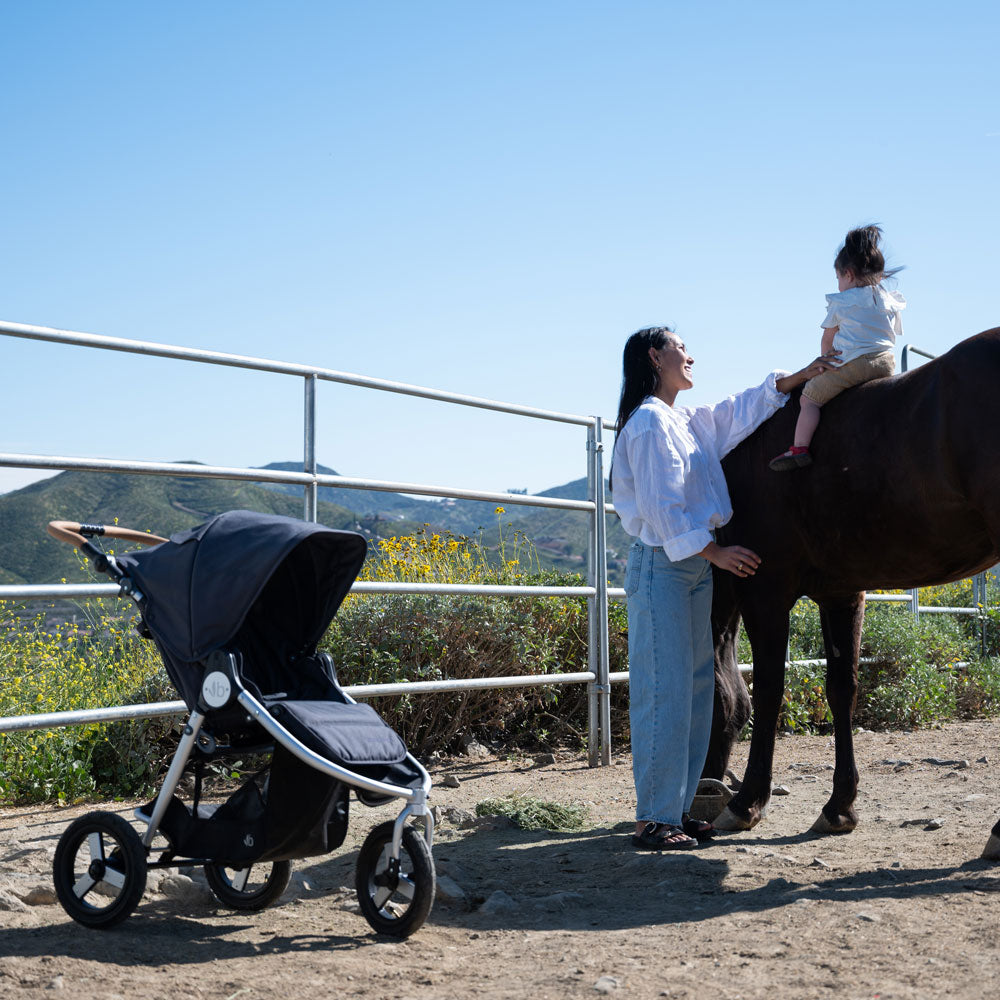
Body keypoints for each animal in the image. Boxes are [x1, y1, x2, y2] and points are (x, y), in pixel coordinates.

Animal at [704, 328, 1000, 860]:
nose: (704, 791)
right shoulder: (842, 594)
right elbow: (842, 689)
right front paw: (839, 806)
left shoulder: (765, 593)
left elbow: (770, 690)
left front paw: (748, 801)